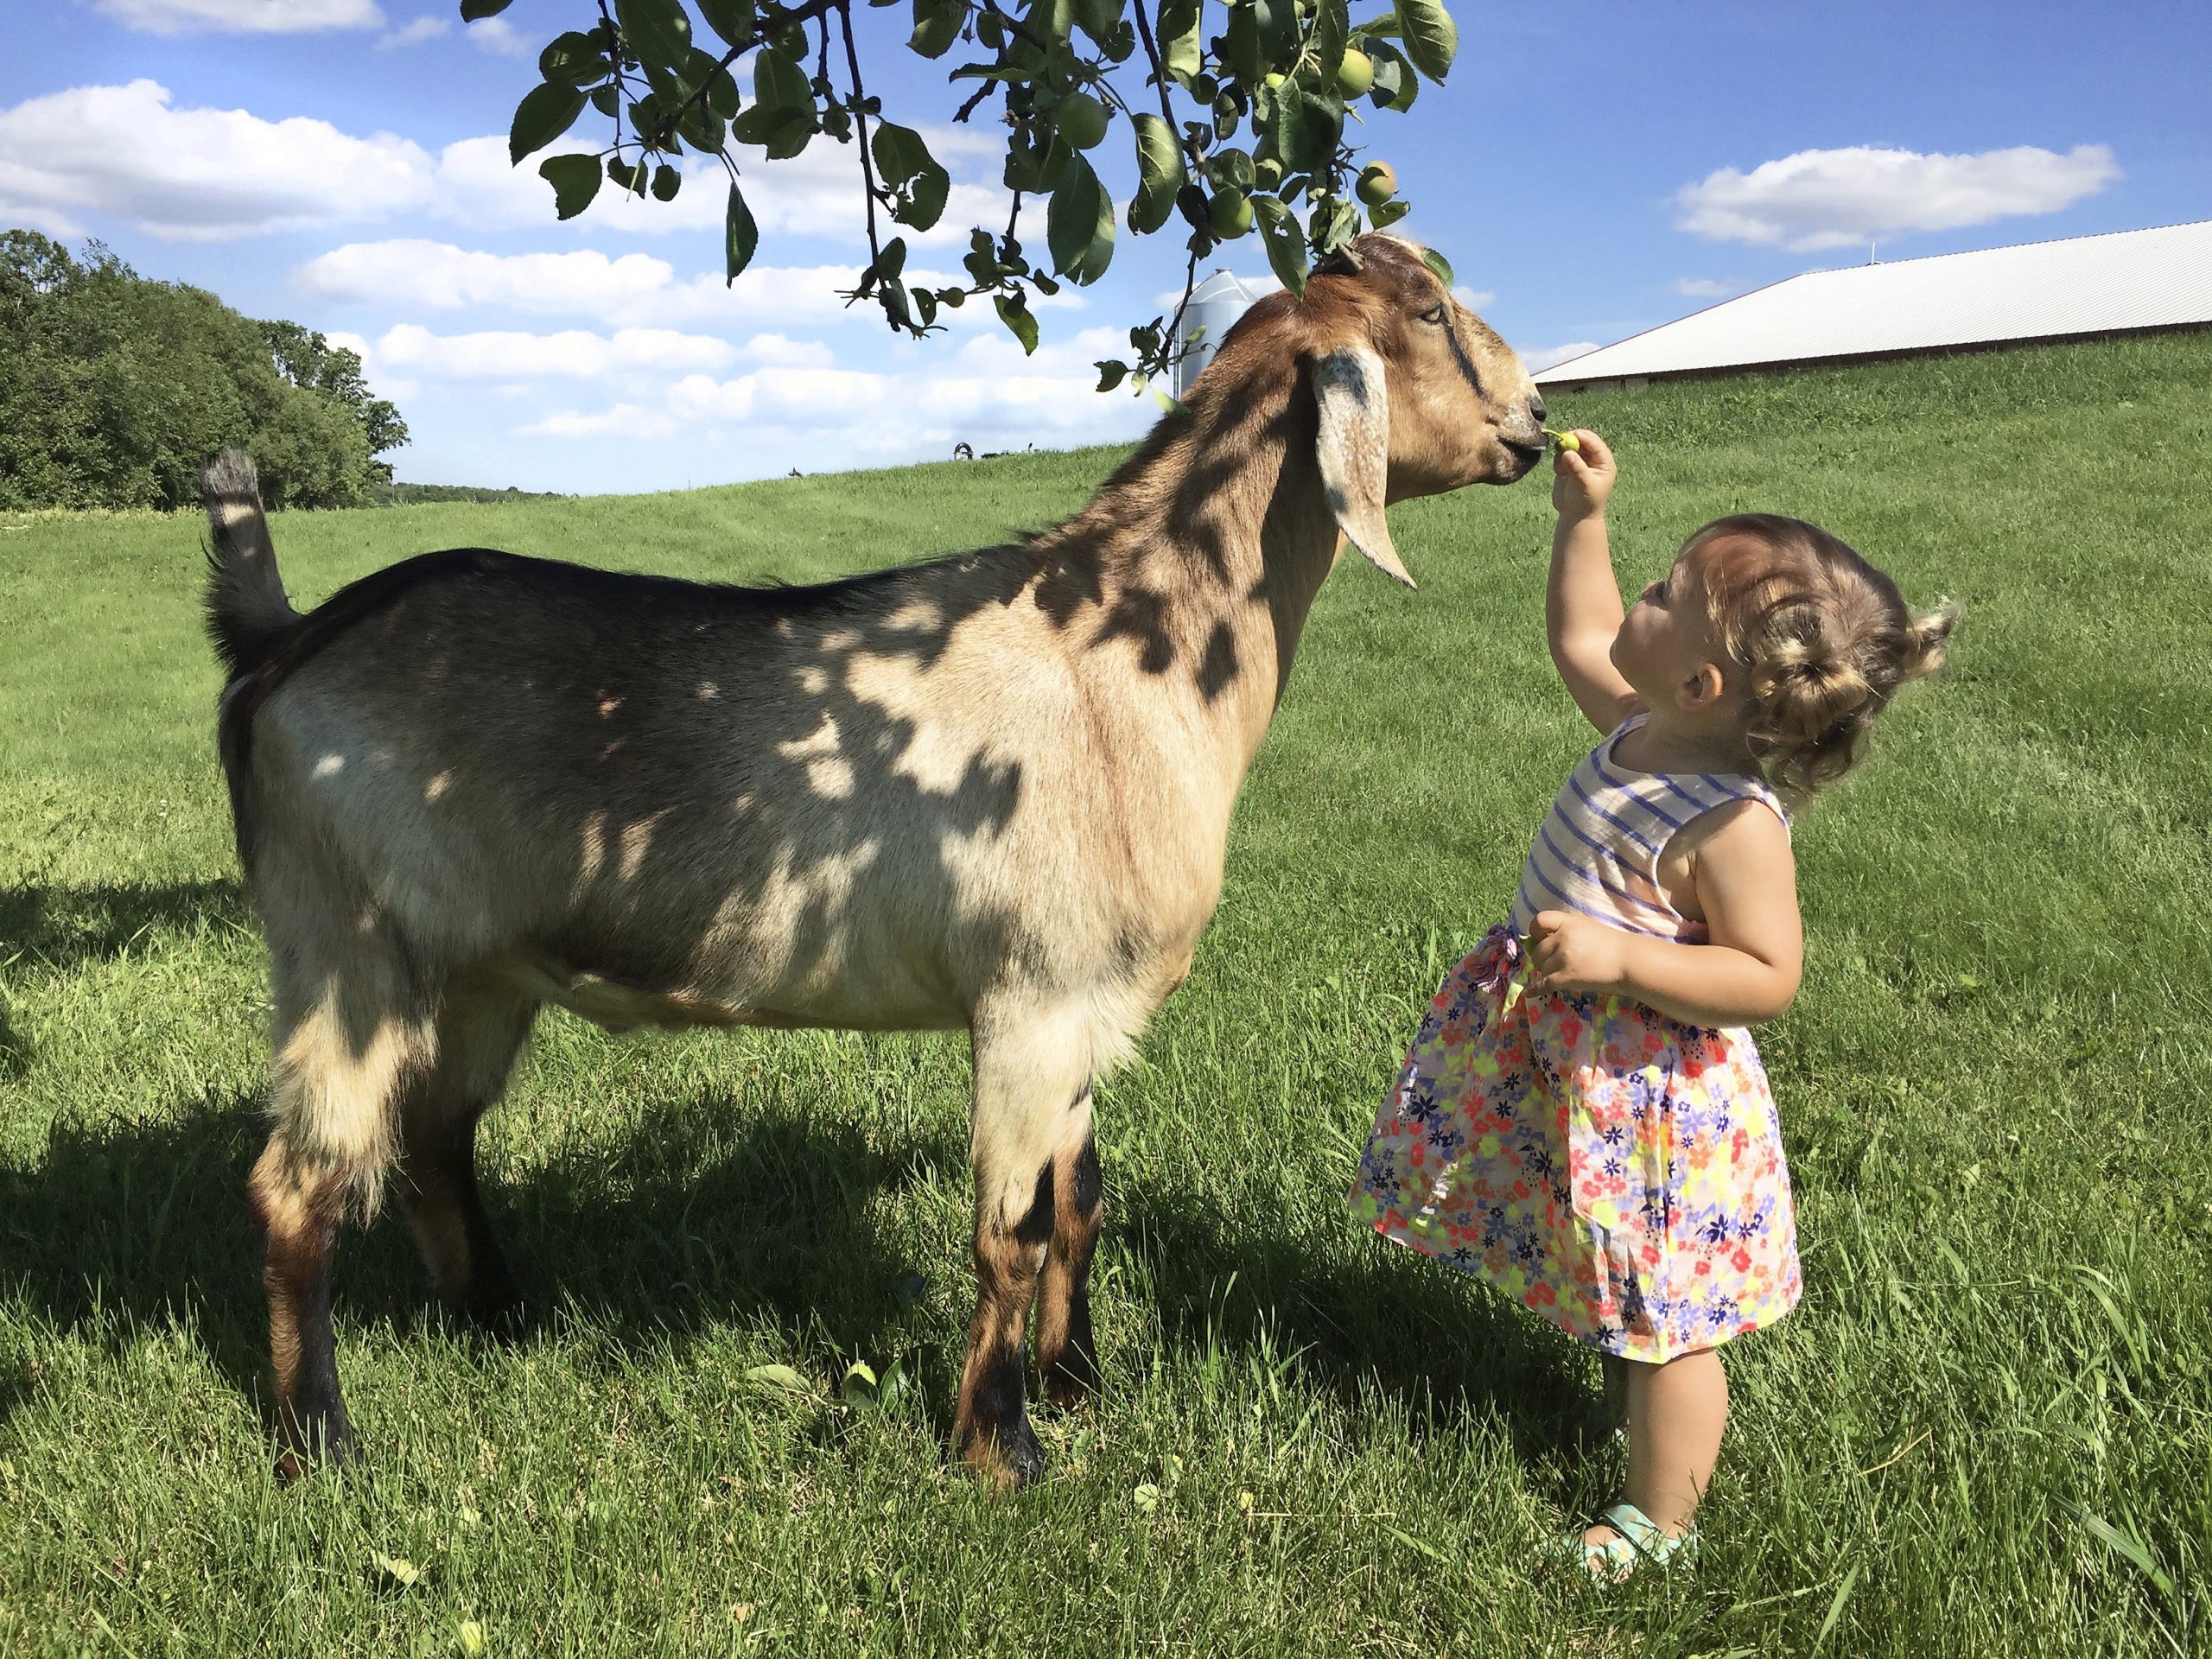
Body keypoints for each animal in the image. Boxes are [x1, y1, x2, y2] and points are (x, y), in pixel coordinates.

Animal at [198, 233, 1548, 1487]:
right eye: (1430, 311)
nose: (1538, 422)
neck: (1123, 654)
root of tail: (283, 645)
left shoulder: (1086, 1006)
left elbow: (1081, 1203)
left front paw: (1079, 1386)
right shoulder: (1031, 1002)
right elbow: (1011, 1230)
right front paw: (1000, 1449)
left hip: (481, 969)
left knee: (430, 1141)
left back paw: (502, 1318)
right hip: (345, 945)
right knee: (296, 1185)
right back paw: (322, 1442)